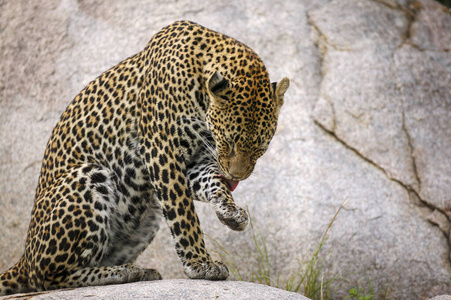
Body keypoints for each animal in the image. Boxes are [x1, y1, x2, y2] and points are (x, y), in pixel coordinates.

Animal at [0, 21, 290, 296]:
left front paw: (230, 212)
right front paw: (200, 263)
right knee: (47, 276)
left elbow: (211, 182)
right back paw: (120, 273)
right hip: (88, 175)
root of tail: (24, 257)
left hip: (148, 215)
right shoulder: (162, 151)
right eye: (228, 142)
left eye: (261, 146)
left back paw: (135, 270)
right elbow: (183, 214)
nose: (236, 176)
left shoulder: (192, 162)